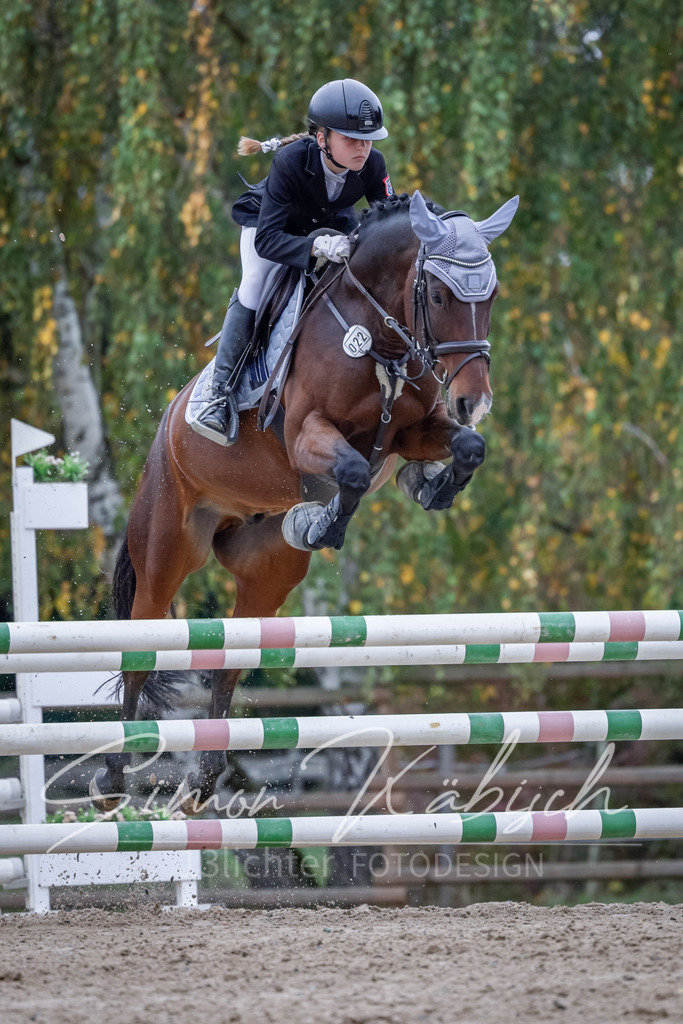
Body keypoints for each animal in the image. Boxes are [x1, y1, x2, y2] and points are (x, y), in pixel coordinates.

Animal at [91, 189, 518, 814]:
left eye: (490, 296)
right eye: (438, 295)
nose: (474, 401)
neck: (381, 337)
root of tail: (166, 427)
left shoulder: (413, 431)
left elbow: (468, 448)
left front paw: (429, 485)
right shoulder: (304, 434)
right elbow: (353, 472)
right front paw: (324, 524)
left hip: (267, 575)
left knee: (231, 660)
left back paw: (204, 781)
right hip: (166, 552)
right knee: (139, 654)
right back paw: (113, 777)